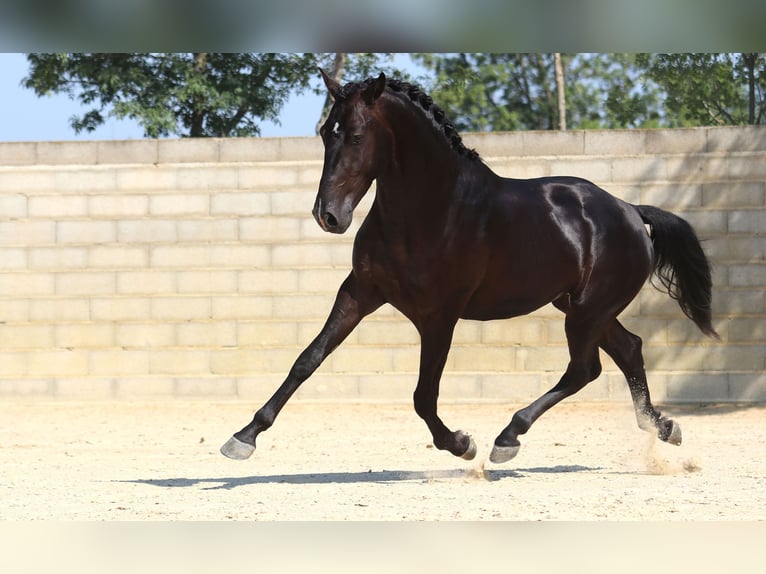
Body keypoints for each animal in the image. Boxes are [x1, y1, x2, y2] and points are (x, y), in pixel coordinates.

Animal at [219, 72, 716, 466]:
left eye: (357, 135)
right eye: (326, 133)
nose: (328, 216)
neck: (432, 210)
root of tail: (631, 211)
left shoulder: (439, 315)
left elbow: (423, 395)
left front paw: (461, 443)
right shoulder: (360, 292)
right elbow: (307, 359)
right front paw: (243, 437)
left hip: (587, 311)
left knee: (584, 369)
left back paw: (507, 438)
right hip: (581, 307)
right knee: (627, 350)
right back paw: (663, 427)